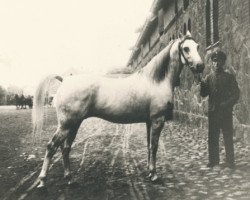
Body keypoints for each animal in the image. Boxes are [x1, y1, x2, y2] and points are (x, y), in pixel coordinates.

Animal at [32, 32, 205, 188]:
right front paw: (154, 175)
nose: (200, 66)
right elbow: (154, 146)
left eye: (197, 46)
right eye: (186, 48)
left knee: (65, 148)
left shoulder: (149, 121)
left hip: (74, 124)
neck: (155, 81)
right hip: (67, 124)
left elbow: (149, 145)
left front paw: (150, 172)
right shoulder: (158, 120)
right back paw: (42, 180)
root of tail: (65, 80)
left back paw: (69, 178)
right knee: (51, 146)